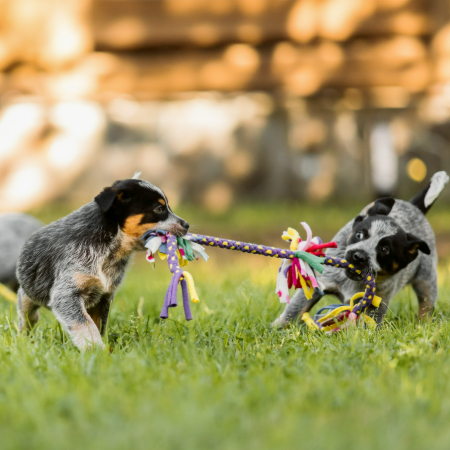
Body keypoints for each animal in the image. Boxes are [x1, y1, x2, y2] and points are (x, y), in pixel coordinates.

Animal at [272, 171, 448, 326]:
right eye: (359, 234)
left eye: (385, 250)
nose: (358, 256)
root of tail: (414, 207)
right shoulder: (319, 283)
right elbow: (294, 310)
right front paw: (279, 328)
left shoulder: (379, 301)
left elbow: (370, 323)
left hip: (426, 280)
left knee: (426, 305)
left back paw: (423, 325)